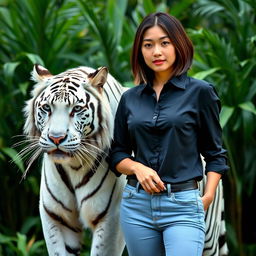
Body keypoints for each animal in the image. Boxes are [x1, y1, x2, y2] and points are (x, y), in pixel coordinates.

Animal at [23, 64, 125, 256]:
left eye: (76, 109)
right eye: (47, 108)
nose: (56, 138)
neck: (74, 166)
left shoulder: (111, 217)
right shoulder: (56, 217)